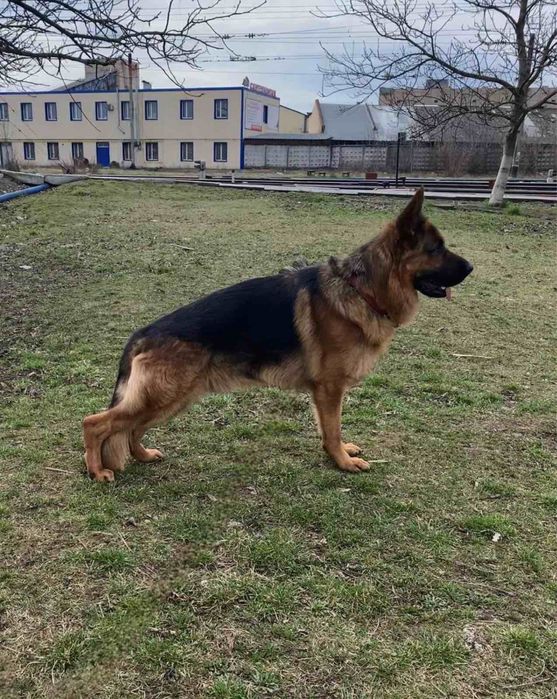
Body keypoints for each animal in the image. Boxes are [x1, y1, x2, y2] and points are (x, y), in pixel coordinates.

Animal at [83, 188, 473, 482]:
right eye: (436, 249)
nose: (471, 268)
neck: (361, 290)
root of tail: (142, 334)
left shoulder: (327, 393)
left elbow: (330, 430)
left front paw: (339, 454)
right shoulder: (329, 389)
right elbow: (332, 430)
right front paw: (342, 462)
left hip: (172, 399)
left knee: (131, 430)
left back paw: (142, 455)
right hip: (163, 396)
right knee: (95, 423)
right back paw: (97, 471)